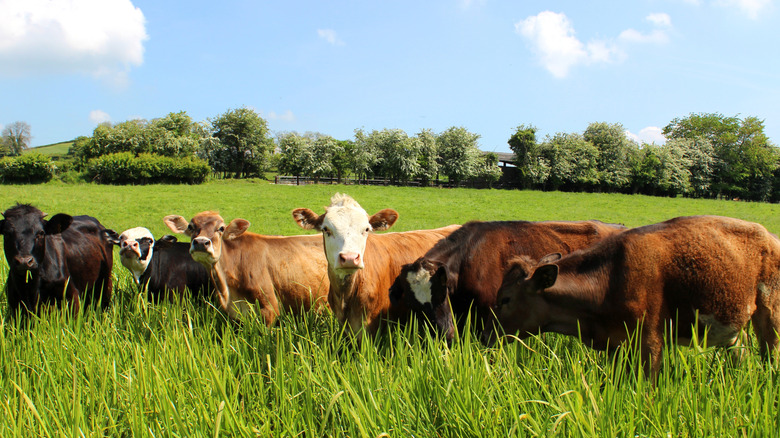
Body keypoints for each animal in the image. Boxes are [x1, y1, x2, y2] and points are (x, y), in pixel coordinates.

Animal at [492, 215, 780, 377]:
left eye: (505, 299)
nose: (485, 335)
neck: (609, 279)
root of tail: (771, 236)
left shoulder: (650, 341)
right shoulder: (617, 344)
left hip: (770, 313)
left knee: (770, 353)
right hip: (732, 323)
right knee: (740, 349)